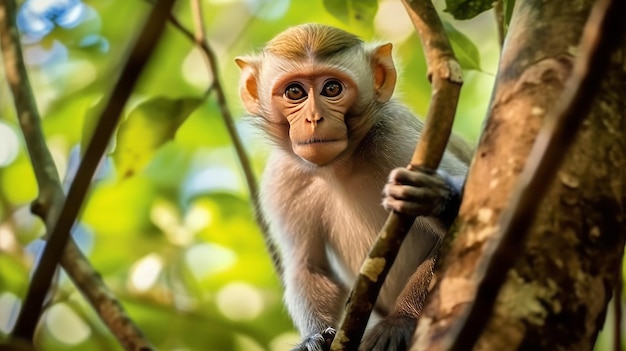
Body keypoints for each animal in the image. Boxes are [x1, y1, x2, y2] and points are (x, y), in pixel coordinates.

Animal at [234, 24, 468, 351]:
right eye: (294, 92)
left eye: (332, 89)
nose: (314, 119)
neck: (340, 167)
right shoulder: (285, 179)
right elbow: (309, 265)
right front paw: (314, 338)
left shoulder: (397, 141)